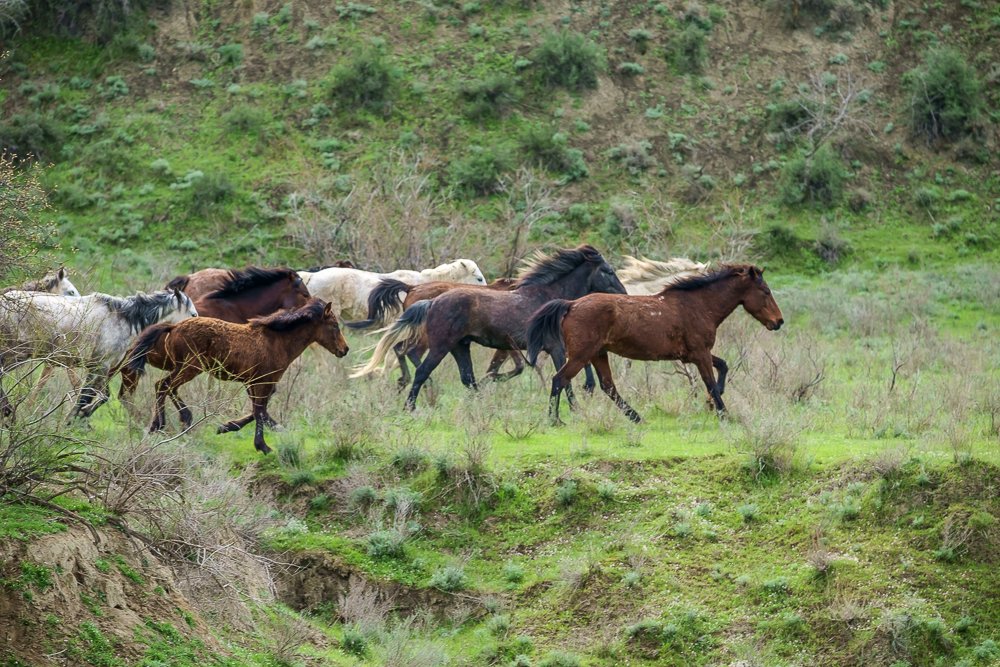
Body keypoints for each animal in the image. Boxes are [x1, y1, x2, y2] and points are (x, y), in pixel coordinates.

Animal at [0, 289, 197, 419]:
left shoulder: (101, 368)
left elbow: (101, 396)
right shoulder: (100, 366)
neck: (123, 318)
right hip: (14, 354)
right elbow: (87, 396)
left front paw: (81, 416)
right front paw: (74, 418)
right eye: (193, 314)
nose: (196, 329)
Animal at [124, 299, 348, 454]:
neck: (277, 341)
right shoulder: (264, 380)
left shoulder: (254, 381)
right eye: (334, 325)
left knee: (165, 386)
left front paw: (226, 427)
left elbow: (258, 409)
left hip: (185, 367)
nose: (345, 349)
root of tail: (173, 327)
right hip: (190, 367)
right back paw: (160, 425)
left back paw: (179, 420)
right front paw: (263, 445)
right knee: (163, 385)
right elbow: (260, 410)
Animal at [350, 245, 626, 411]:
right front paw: (575, 408)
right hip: (440, 345)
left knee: (466, 378)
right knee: (421, 369)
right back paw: (411, 406)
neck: (548, 296)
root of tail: (430, 300)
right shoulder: (555, 346)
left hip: (460, 346)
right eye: (608, 271)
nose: (623, 294)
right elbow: (564, 376)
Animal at [525, 264, 784, 424]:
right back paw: (555, 420)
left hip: (598, 354)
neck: (699, 305)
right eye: (765, 291)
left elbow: (722, 367)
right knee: (559, 380)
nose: (779, 321)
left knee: (608, 387)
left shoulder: (695, 354)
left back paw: (637, 418)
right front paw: (723, 413)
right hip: (581, 356)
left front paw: (714, 402)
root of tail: (571, 304)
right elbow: (710, 381)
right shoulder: (700, 354)